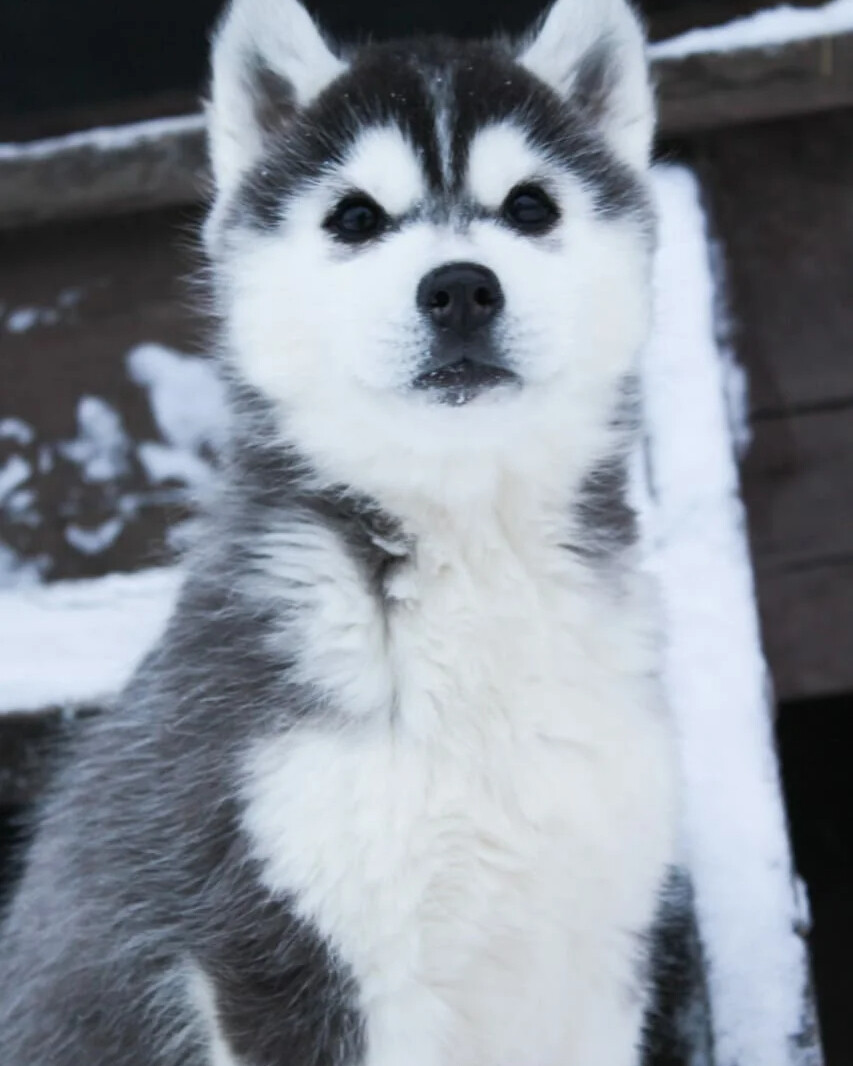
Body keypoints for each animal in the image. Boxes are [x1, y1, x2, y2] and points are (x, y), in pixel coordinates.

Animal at [0, 0, 678, 1061]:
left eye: (530, 206)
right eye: (356, 218)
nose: (460, 287)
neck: (466, 550)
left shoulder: (595, 950)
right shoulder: (284, 953)